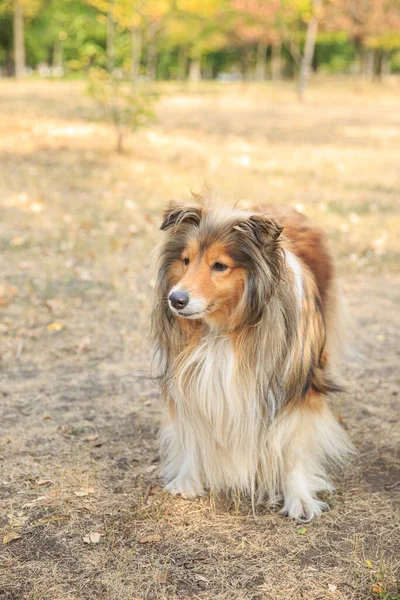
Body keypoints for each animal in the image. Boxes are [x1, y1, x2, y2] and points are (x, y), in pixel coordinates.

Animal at [151, 197, 354, 520]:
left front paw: (299, 498)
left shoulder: (296, 388)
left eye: (220, 266)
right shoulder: (189, 380)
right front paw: (187, 480)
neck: (224, 331)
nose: (175, 300)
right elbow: (193, 432)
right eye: (185, 260)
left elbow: (294, 447)